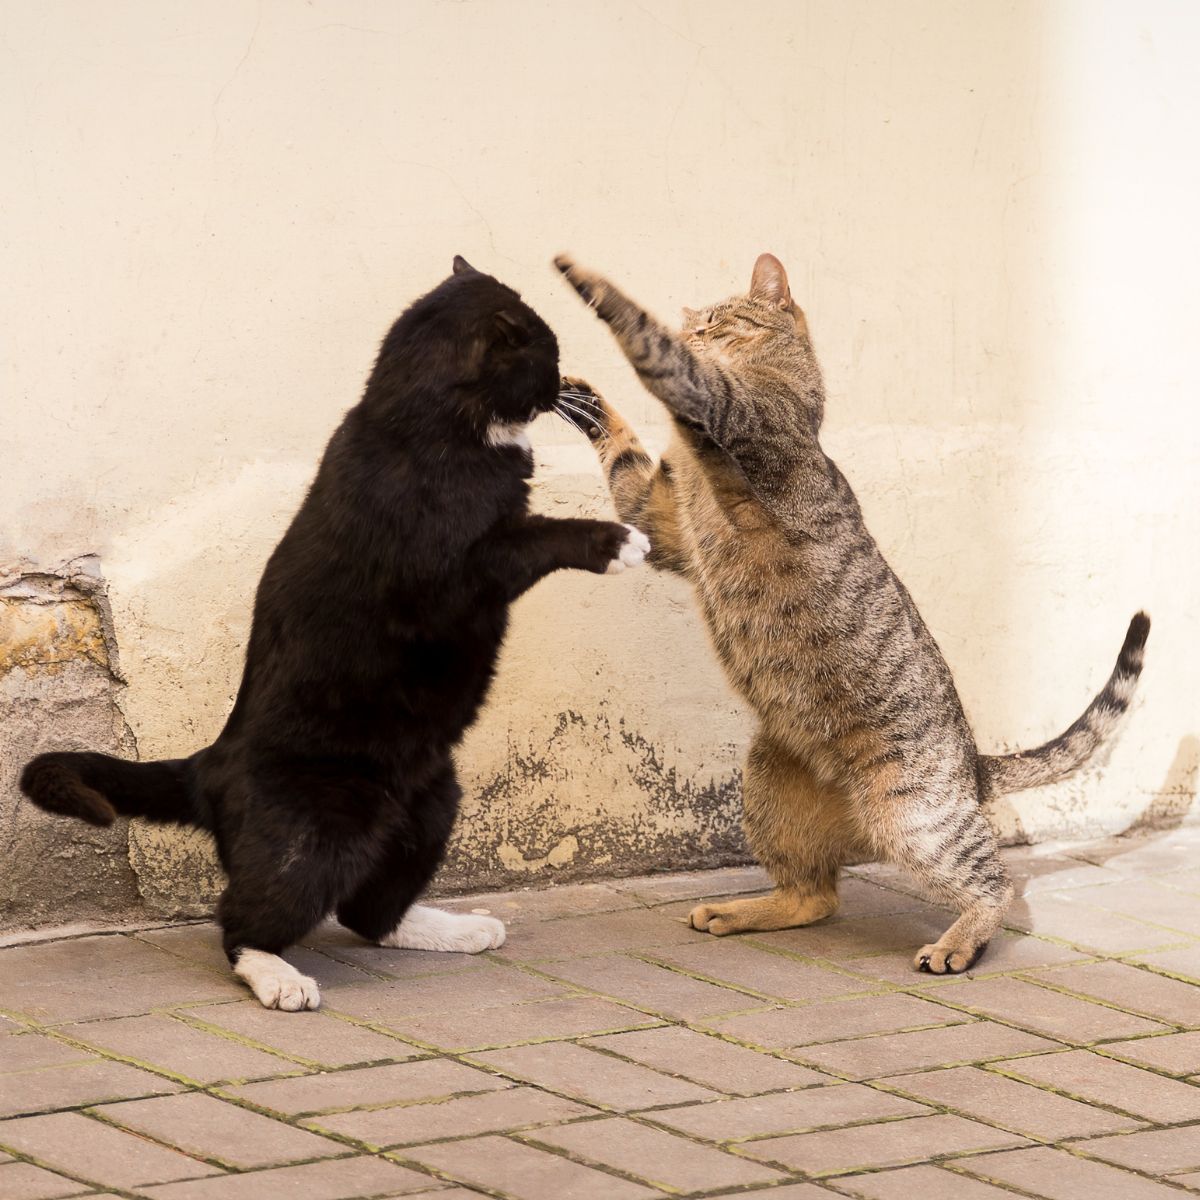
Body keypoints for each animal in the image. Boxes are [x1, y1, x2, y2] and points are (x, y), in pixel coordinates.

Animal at [18, 260, 652, 1012]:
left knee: (368, 911)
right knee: (246, 920)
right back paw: (278, 977)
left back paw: (447, 929)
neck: (424, 424)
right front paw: (615, 540)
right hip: (321, 831)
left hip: (432, 800)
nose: (564, 384)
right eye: (547, 355)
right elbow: (533, 538)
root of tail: (210, 765)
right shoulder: (457, 572)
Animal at [556, 253, 1147, 974]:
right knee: (814, 896)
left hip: (913, 818)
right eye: (697, 324)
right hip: (768, 786)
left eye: (716, 324)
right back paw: (739, 910)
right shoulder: (663, 522)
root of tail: (975, 764)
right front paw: (579, 395)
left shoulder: (725, 410)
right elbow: (625, 450)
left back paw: (956, 944)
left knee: (994, 882)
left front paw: (585, 279)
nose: (695, 333)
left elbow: (648, 344)